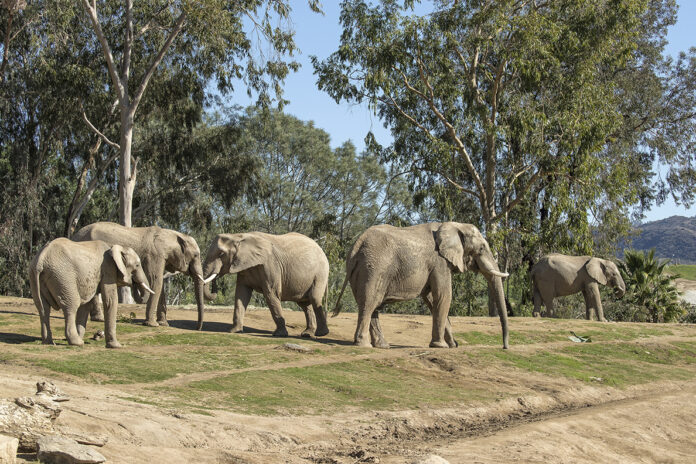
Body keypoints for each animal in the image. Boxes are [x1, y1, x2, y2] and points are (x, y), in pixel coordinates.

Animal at [73, 222, 208, 329]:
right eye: (196, 255)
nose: (197, 328)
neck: (171, 234)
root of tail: (75, 235)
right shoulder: (155, 255)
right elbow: (155, 282)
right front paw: (152, 325)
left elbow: (158, 284)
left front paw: (163, 324)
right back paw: (99, 319)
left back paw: (98, 319)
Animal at [332, 222, 510, 349]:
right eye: (481, 248)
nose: (504, 347)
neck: (455, 225)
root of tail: (357, 244)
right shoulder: (439, 262)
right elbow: (444, 296)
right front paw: (441, 346)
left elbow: (431, 299)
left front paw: (452, 345)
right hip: (373, 268)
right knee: (369, 303)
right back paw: (364, 345)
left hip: (362, 270)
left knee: (372, 305)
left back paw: (383, 346)